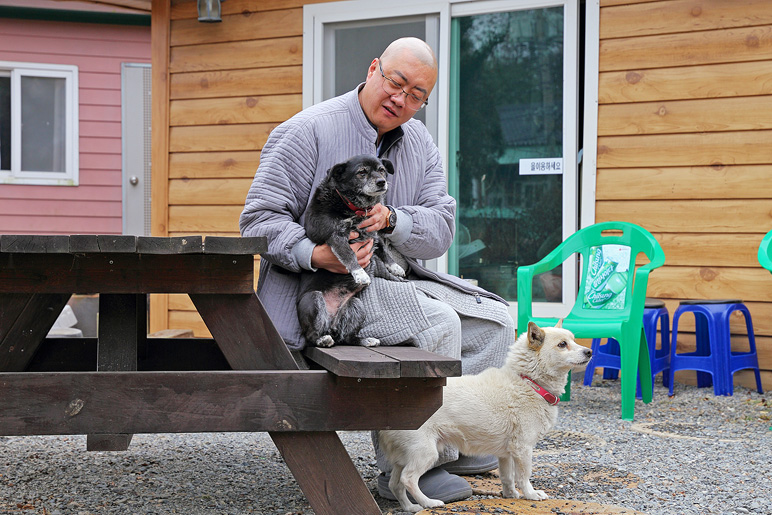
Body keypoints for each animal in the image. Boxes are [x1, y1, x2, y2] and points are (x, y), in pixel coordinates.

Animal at [296, 153, 408, 346]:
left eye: (381, 170)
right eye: (361, 172)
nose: (381, 182)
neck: (355, 207)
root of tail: (331, 325)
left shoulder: (373, 234)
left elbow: (383, 250)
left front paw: (395, 267)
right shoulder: (336, 236)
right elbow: (349, 255)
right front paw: (360, 273)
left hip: (357, 306)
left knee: (346, 337)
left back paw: (365, 340)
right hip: (314, 299)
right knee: (311, 335)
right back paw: (322, 340)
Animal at [378, 322, 592, 512]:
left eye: (574, 340)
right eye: (562, 344)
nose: (589, 351)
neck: (529, 382)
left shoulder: (506, 454)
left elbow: (507, 477)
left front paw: (510, 494)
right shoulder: (523, 449)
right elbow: (524, 476)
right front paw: (531, 494)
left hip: (403, 458)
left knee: (395, 484)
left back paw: (410, 507)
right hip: (426, 453)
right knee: (408, 479)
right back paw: (428, 502)